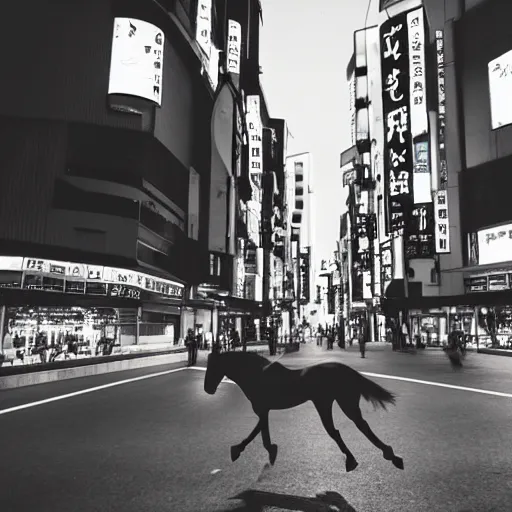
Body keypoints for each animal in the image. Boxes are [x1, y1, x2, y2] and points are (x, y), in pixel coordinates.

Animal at [204, 352, 404, 472]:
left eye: (213, 367)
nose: (207, 389)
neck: (257, 374)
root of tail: (349, 371)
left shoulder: (262, 408)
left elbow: (259, 433)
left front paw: (241, 450)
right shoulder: (264, 410)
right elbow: (261, 432)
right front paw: (263, 450)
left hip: (337, 403)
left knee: (353, 428)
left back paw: (381, 456)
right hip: (331, 404)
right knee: (344, 429)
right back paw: (365, 458)